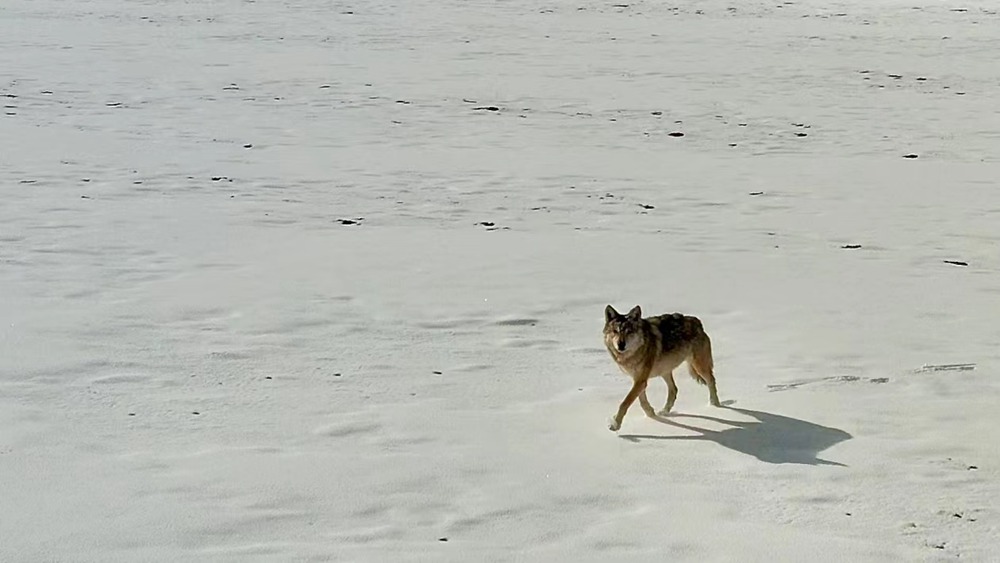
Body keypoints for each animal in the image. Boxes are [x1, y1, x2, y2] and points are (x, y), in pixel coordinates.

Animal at [600, 304, 720, 432]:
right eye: (615, 331)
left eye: (629, 332)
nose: (621, 345)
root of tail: (697, 322)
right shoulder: (639, 380)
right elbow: (642, 400)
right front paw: (651, 414)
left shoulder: (640, 380)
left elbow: (625, 402)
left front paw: (615, 424)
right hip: (665, 371)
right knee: (674, 389)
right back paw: (664, 412)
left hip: (699, 367)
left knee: (711, 380)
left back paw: (714, 404)